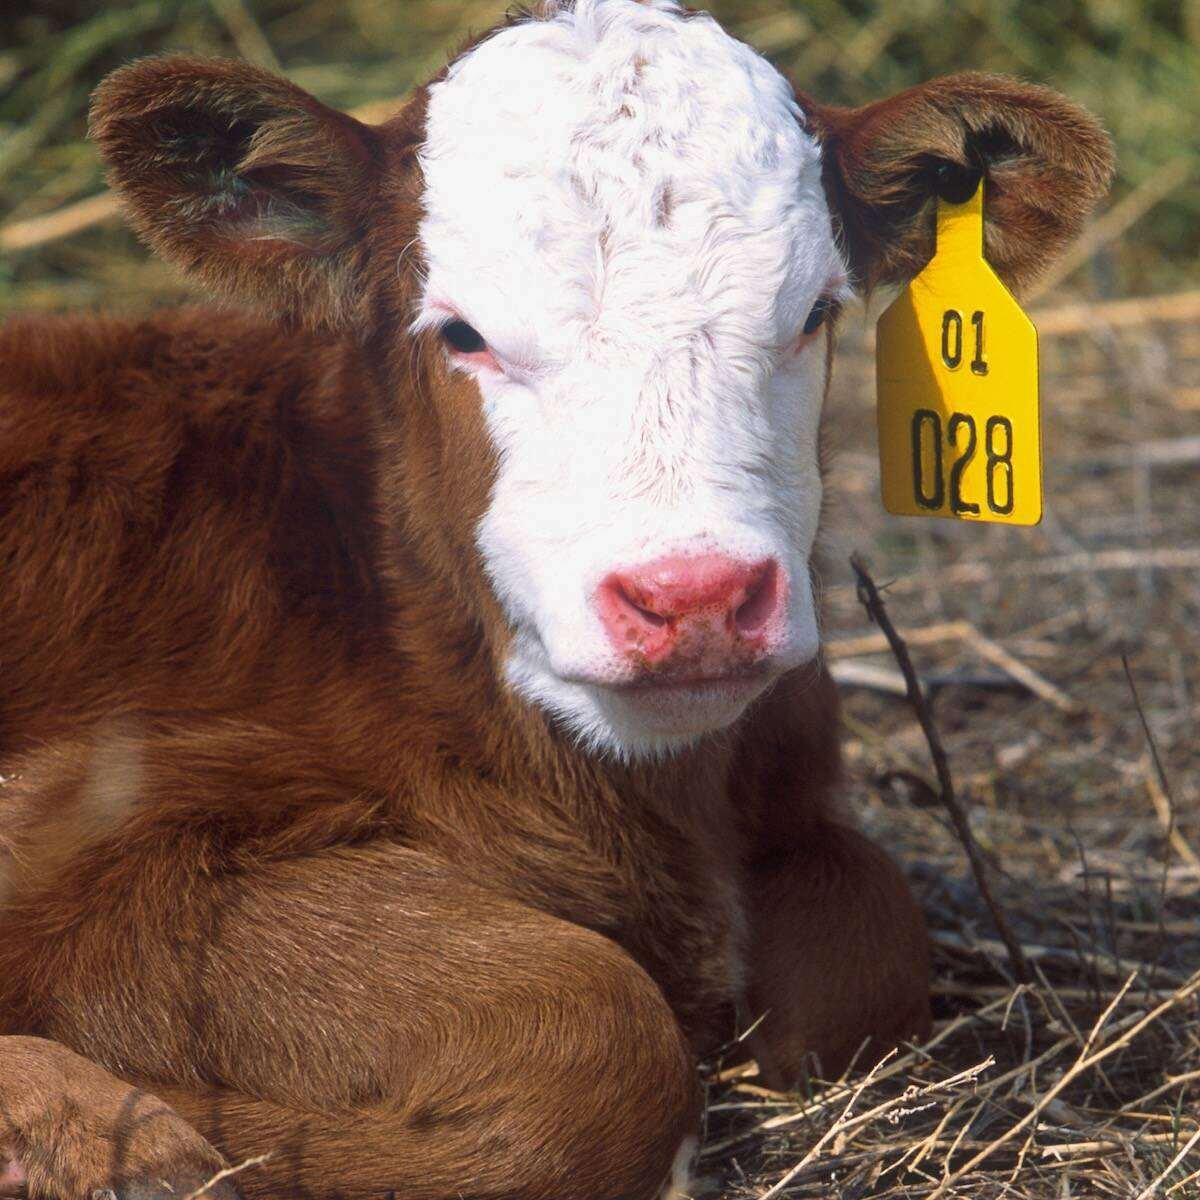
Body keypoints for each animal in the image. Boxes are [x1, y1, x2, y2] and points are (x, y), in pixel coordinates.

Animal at [0, 2, 1112, 1197]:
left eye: (816, 311)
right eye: (461, 333)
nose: (695, 595)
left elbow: (868, 945)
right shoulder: (90, 844)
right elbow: (593, 1033)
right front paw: (154, 1130)